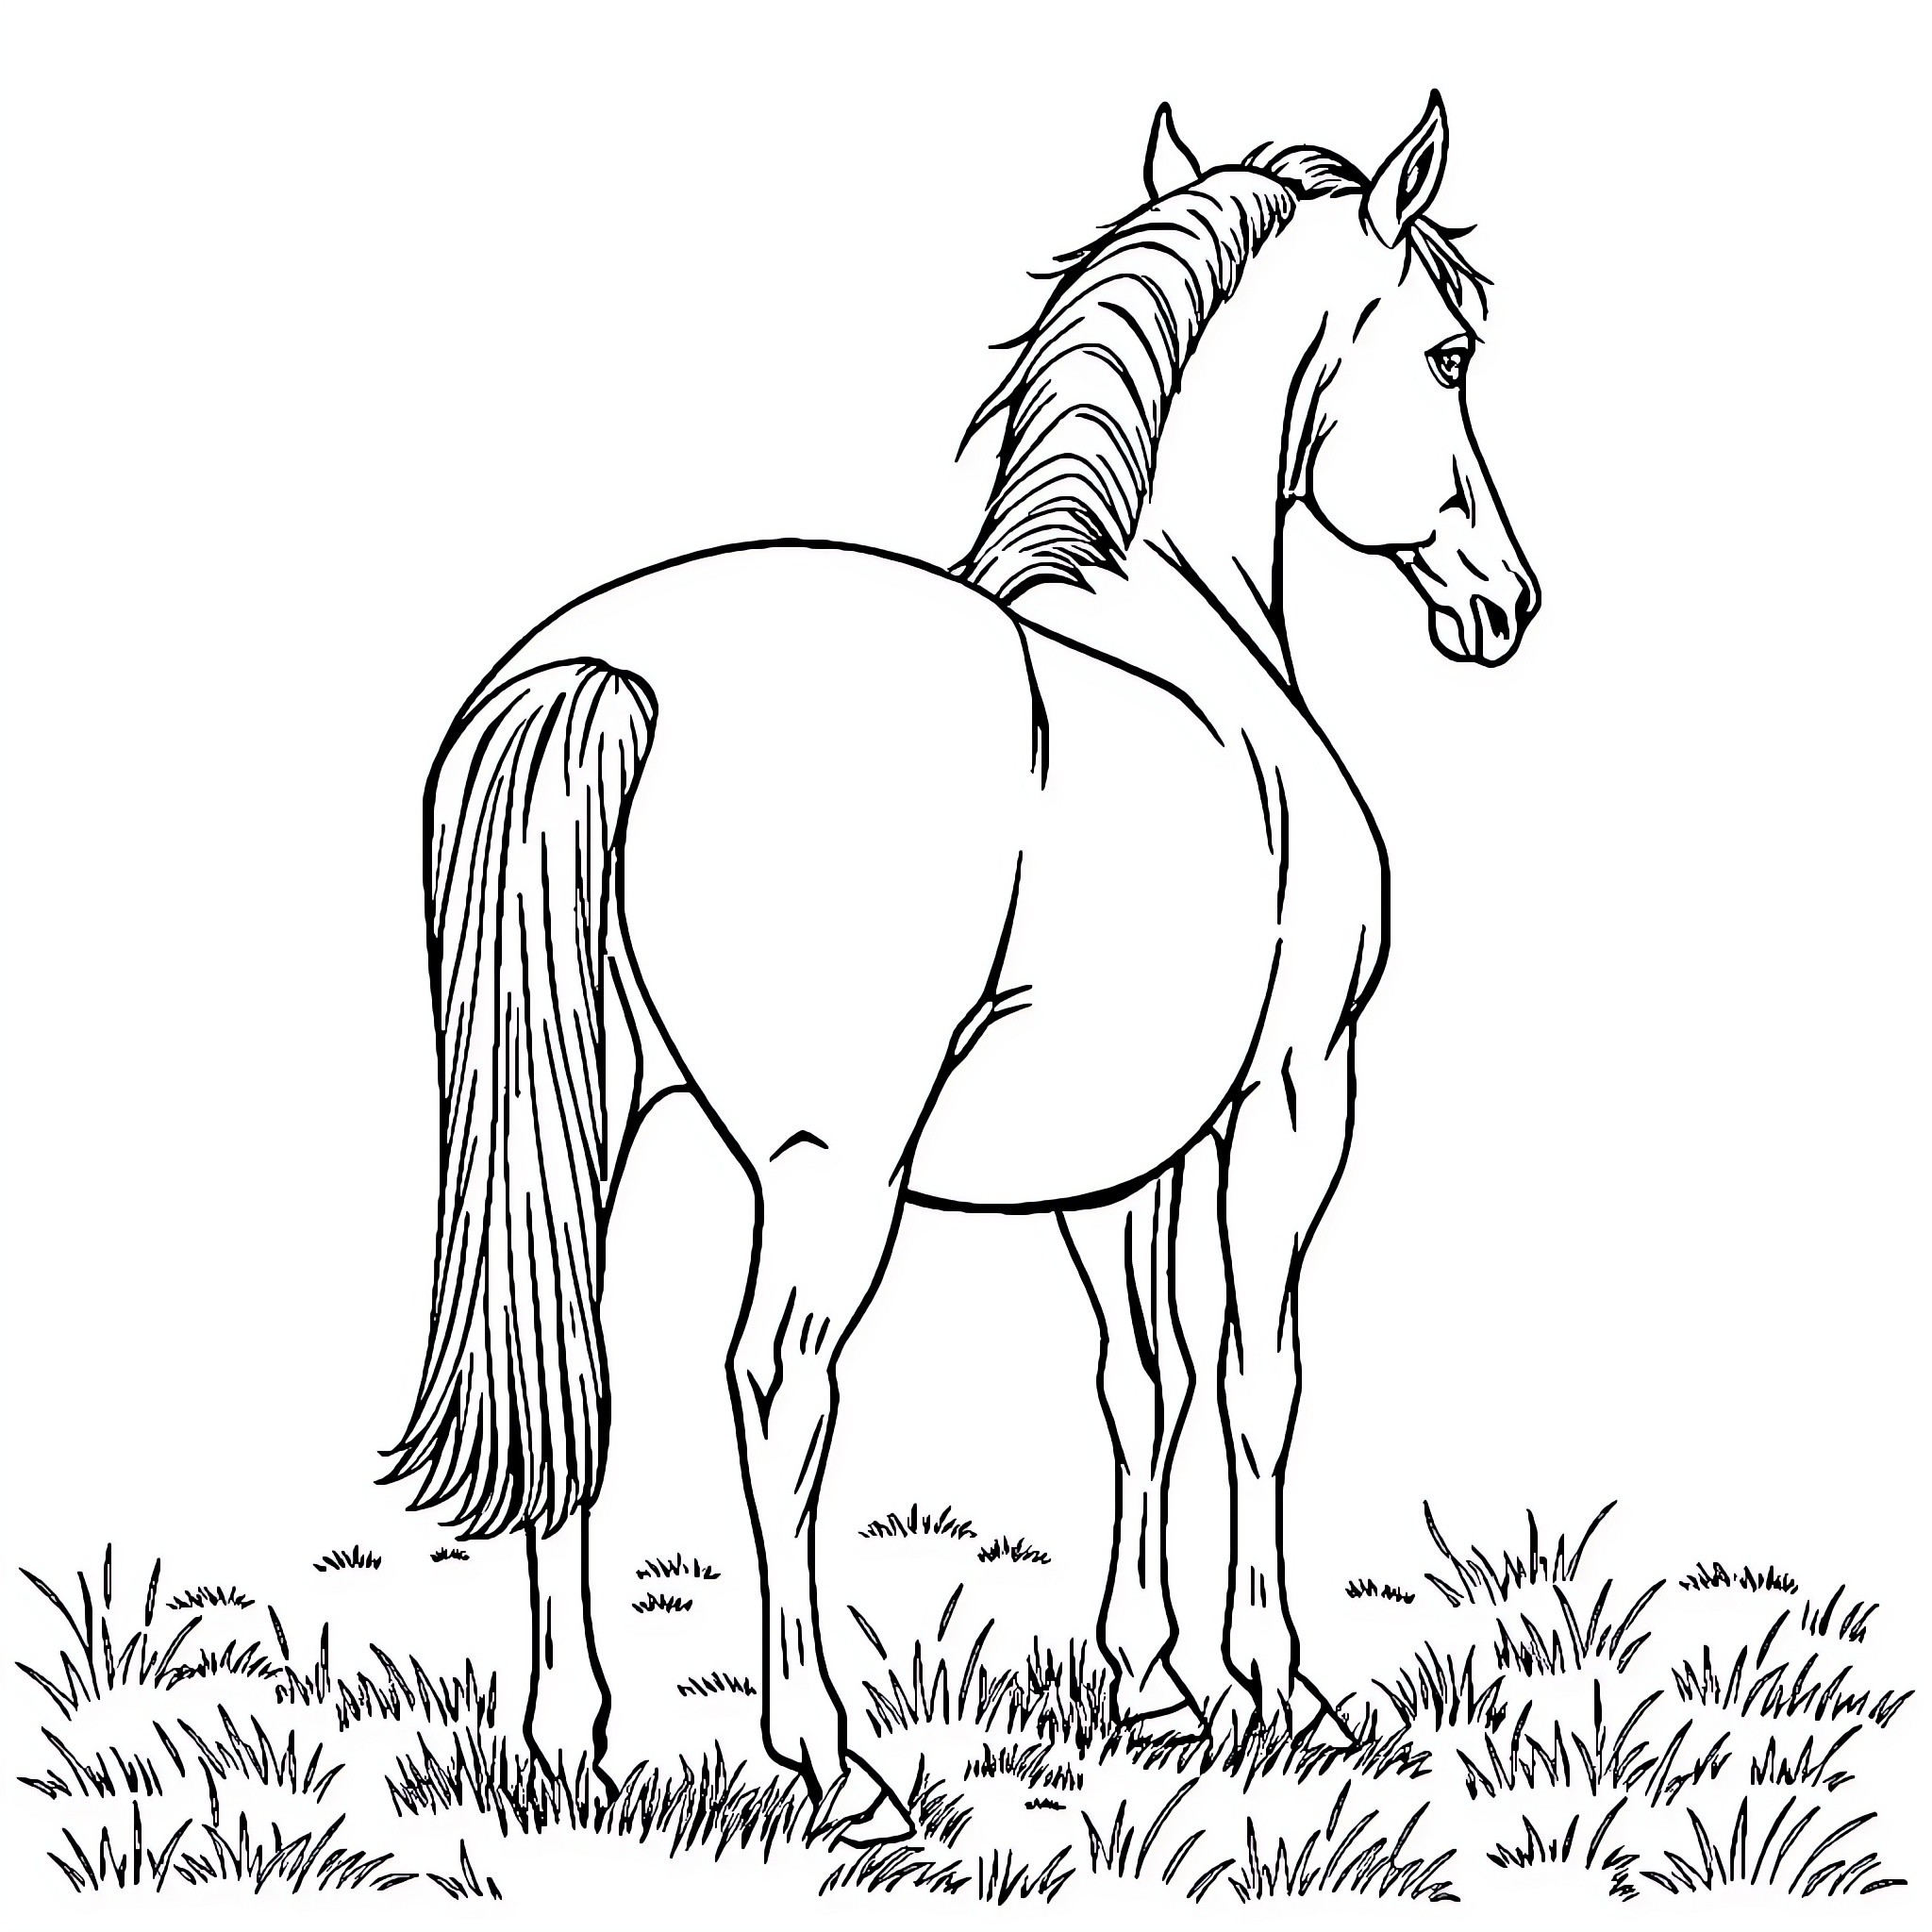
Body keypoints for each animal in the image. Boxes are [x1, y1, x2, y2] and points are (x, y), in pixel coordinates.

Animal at [386, 94, 1538, 1846]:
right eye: (1451, 352)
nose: (1504, 601)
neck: (1187, 639)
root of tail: (609, 667)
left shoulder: (1123, 1151)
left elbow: (1143, 1376)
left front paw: (1154, 1679)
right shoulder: (1292, 1096)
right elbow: (1258, 1375)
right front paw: (1281, 1686)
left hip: (586, 1117)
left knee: (568, 1372)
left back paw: (570, 1734)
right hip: (832, 1167)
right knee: (778, 1388)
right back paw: (829, 1755)